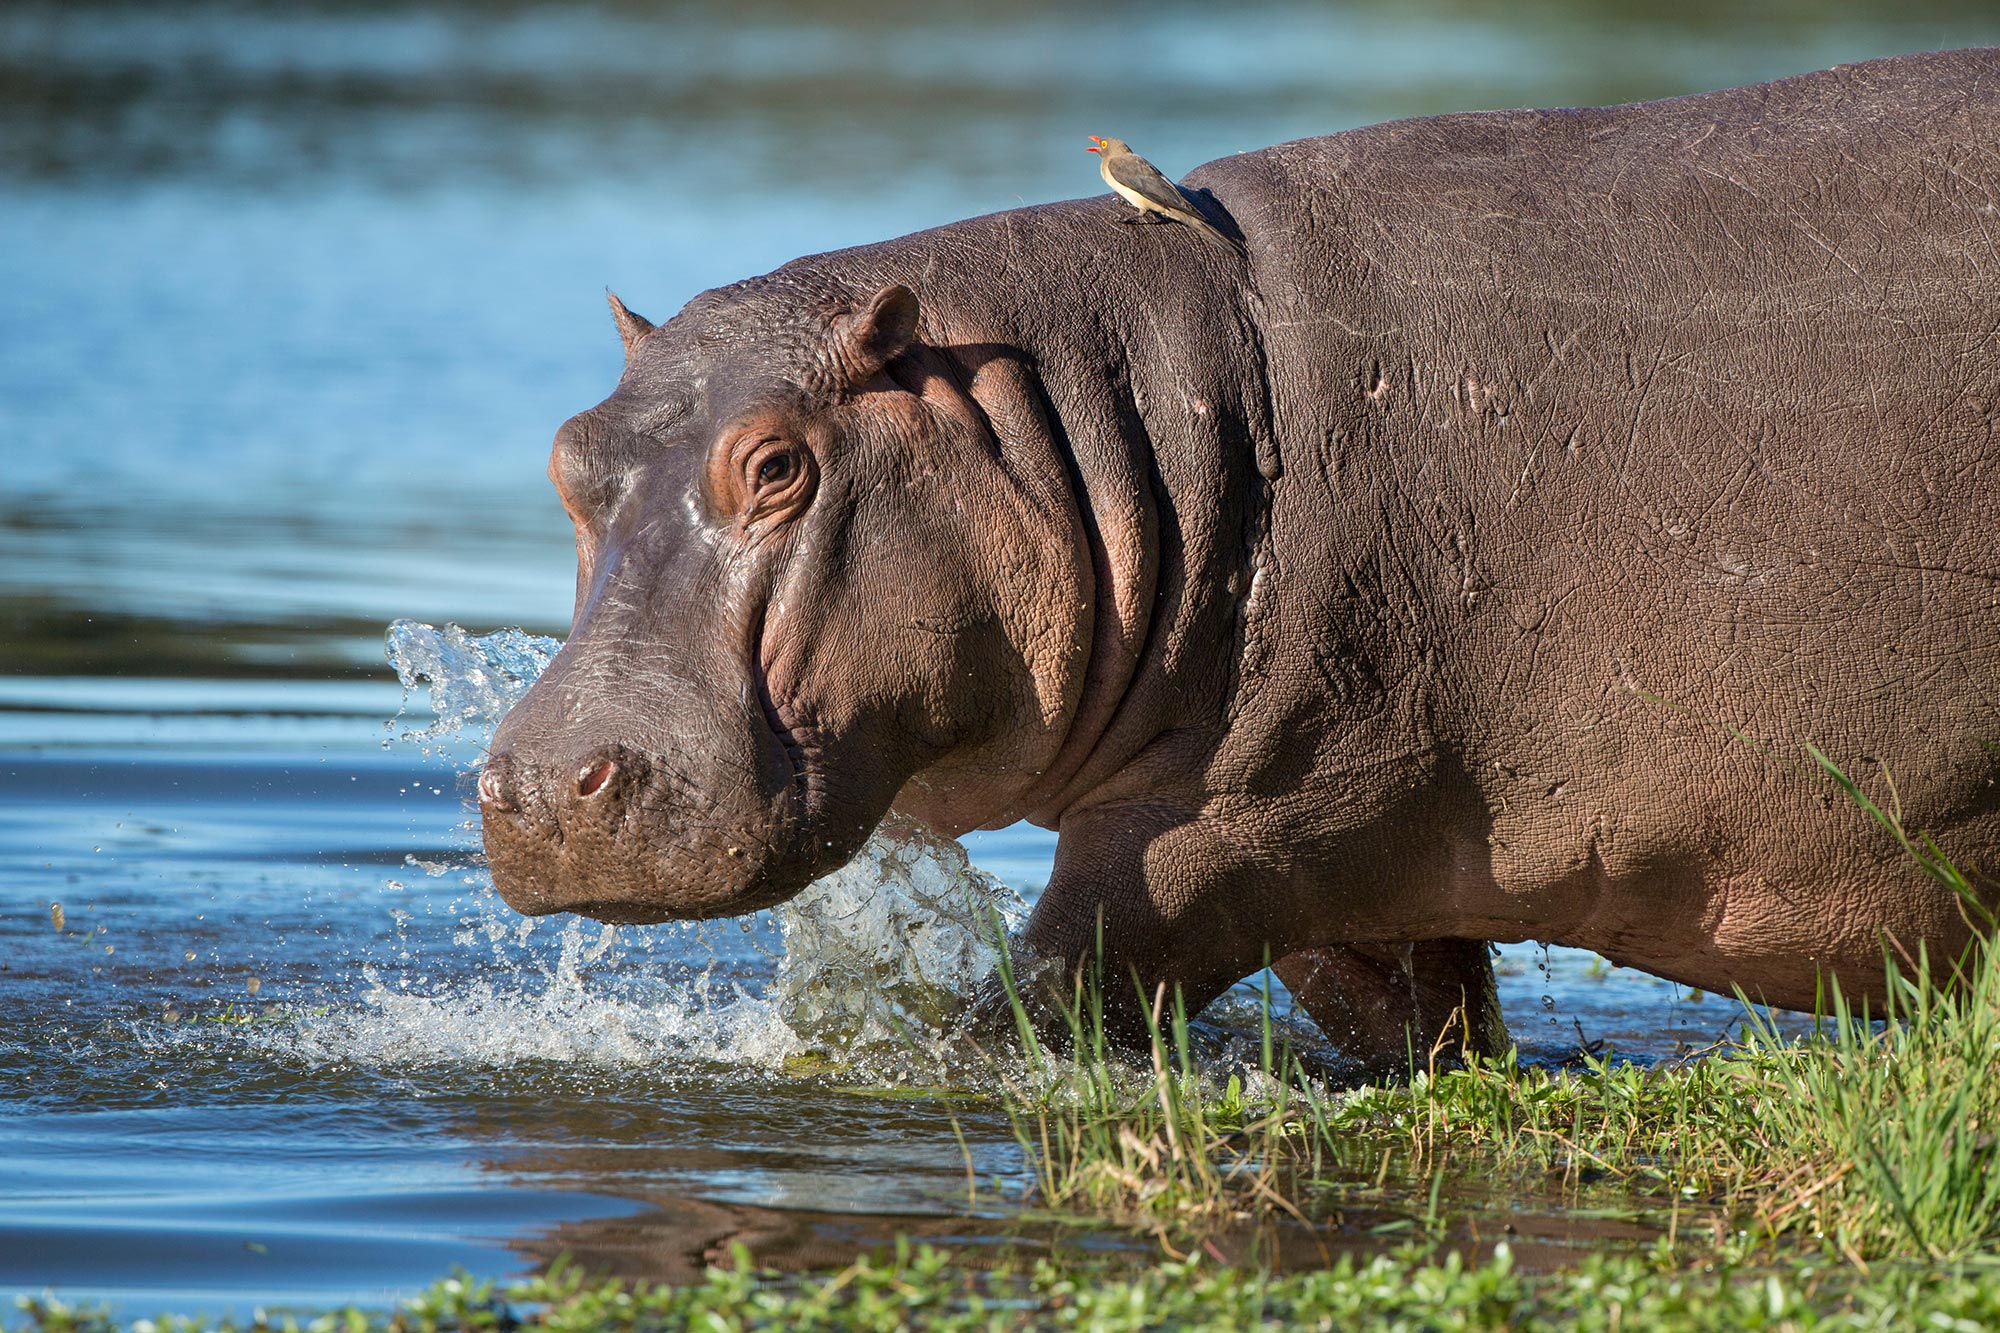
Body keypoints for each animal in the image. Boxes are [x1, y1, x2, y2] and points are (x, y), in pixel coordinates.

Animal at [478, 48, 2000, 1066]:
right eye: (564, 453)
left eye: (778, 464)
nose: (546, 782)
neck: (1100, 413)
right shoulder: (1362, 855)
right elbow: (1422, 1027)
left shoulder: (1225, 830)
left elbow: (1038, 1000)